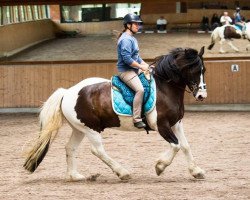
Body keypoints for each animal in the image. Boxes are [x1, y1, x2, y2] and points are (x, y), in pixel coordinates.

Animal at [23, 46, 207, 181]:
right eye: (194, 70)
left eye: (203, 70)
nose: (201, 95)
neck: (165, 88)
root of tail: (67, 92)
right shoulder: (162, 125)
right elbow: (176, 145)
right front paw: (159, 166)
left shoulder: (176, 124)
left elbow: (185, 145)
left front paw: (196, 171)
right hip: (91, 129)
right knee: (97, 150)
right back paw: (122, 173)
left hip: (79, 129)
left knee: (70, 147)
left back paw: (74, 176)